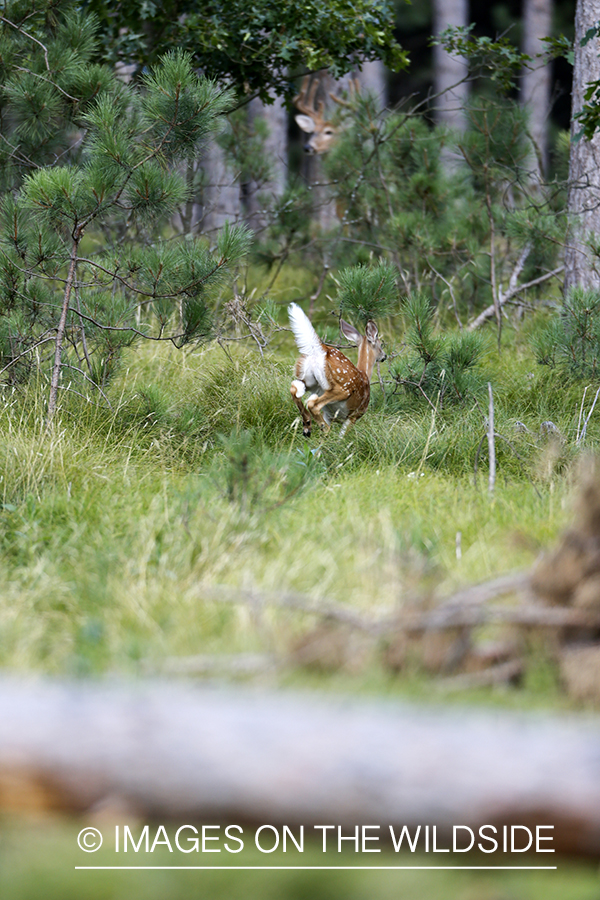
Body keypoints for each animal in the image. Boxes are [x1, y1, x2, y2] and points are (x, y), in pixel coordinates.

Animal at [288, 302, 386, 437]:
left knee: (294, 389)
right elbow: (342, 437)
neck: (365, 374)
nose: (384, 356)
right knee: (313, 404)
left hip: (308, 379)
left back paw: (307, 427)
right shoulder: (355, 414)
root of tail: (320, 350)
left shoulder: (329, 414)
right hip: (342, 388)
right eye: (381, 345)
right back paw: (324, 430)